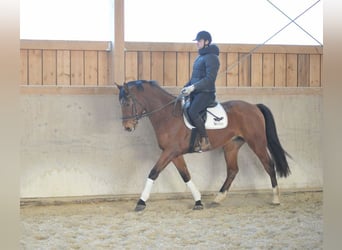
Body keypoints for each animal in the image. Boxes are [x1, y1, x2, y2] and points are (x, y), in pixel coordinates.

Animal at [115, 80, 292, 211]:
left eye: (127, 102)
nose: (127, 127)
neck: (168, 116)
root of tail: (254, 107)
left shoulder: (170, 151)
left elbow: (153, 172)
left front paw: (141, 202)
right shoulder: (174, 153)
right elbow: (186, 175)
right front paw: (198, 201)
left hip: (257, 143)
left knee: (268, 165)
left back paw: (276, 199)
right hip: (231, 146)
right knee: (233, 170)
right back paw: (218, 198)